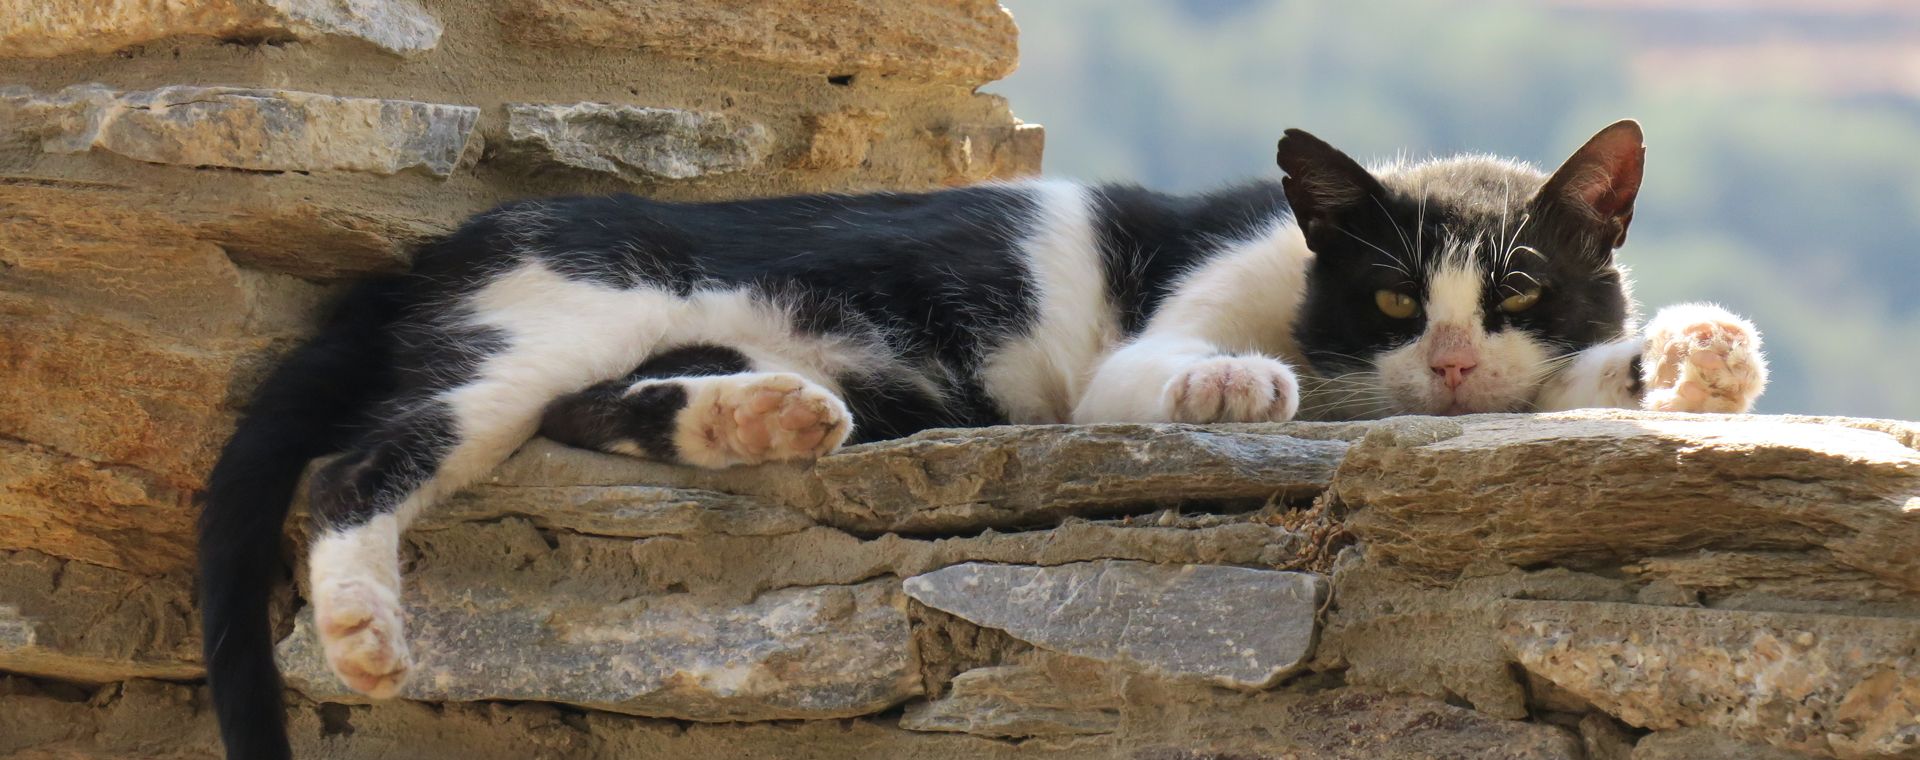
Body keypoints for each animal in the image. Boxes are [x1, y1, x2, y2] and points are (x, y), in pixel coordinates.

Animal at [198, 120, 1766, 760]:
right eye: (1389, 295)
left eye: (1518, 294)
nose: (1444, 358)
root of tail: (437, 252)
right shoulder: (1152, 341)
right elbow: (1178, 371)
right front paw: (1240, 386)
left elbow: (1583, 377)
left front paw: (1695, 357)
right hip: (547, 319)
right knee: (363, 459)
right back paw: (363, 627)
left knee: (611, 406)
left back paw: (767, 411)